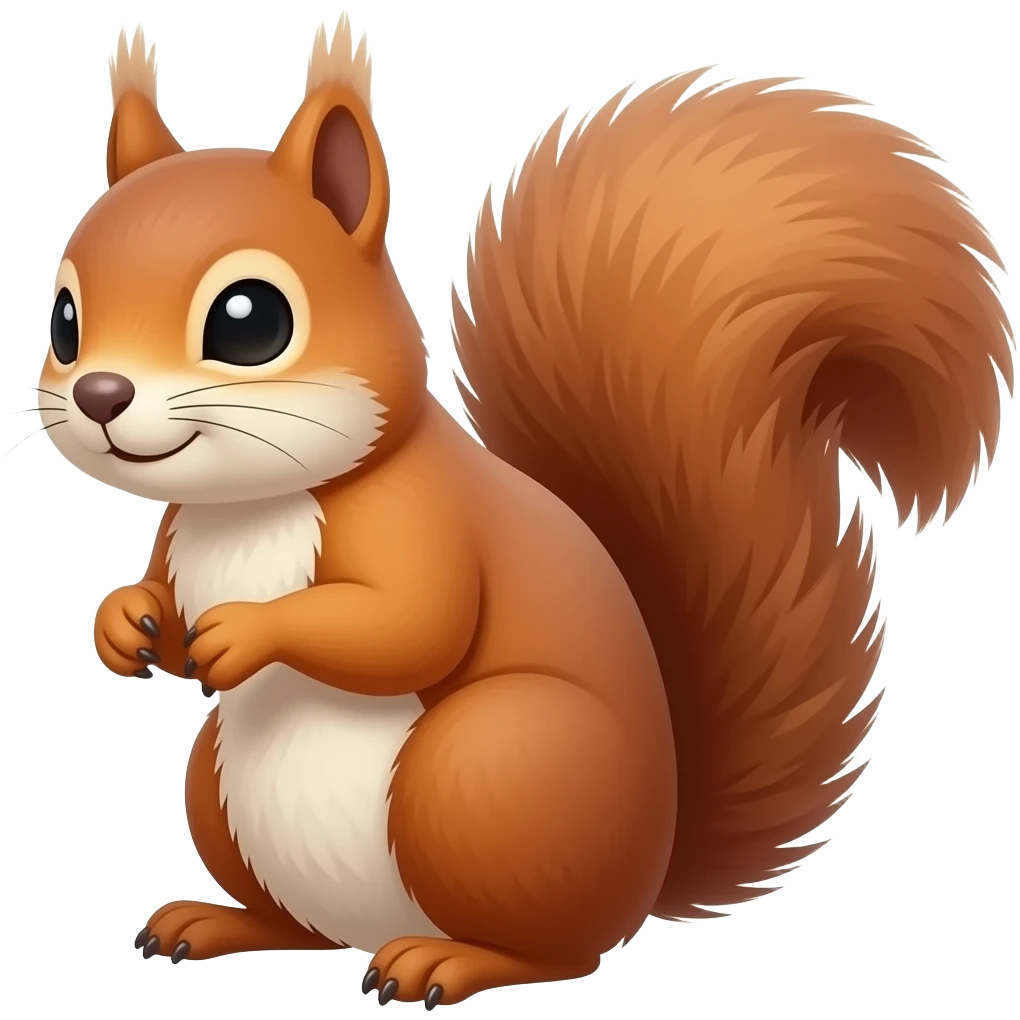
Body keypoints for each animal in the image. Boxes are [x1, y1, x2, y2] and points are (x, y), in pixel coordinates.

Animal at [40, 15, 1012, 1006]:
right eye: (64, 321)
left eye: (250, 320)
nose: (101, 395)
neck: (250, 506)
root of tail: (645, 877)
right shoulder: (181, 531)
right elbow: (161, 592)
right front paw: (122, 623)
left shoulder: (419, 518)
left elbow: (411, 623)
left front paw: (246, 631)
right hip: (222, 789)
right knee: (302, 928)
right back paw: (219, 922)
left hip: (487, 768)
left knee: (556, 951)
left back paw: (448, 961)